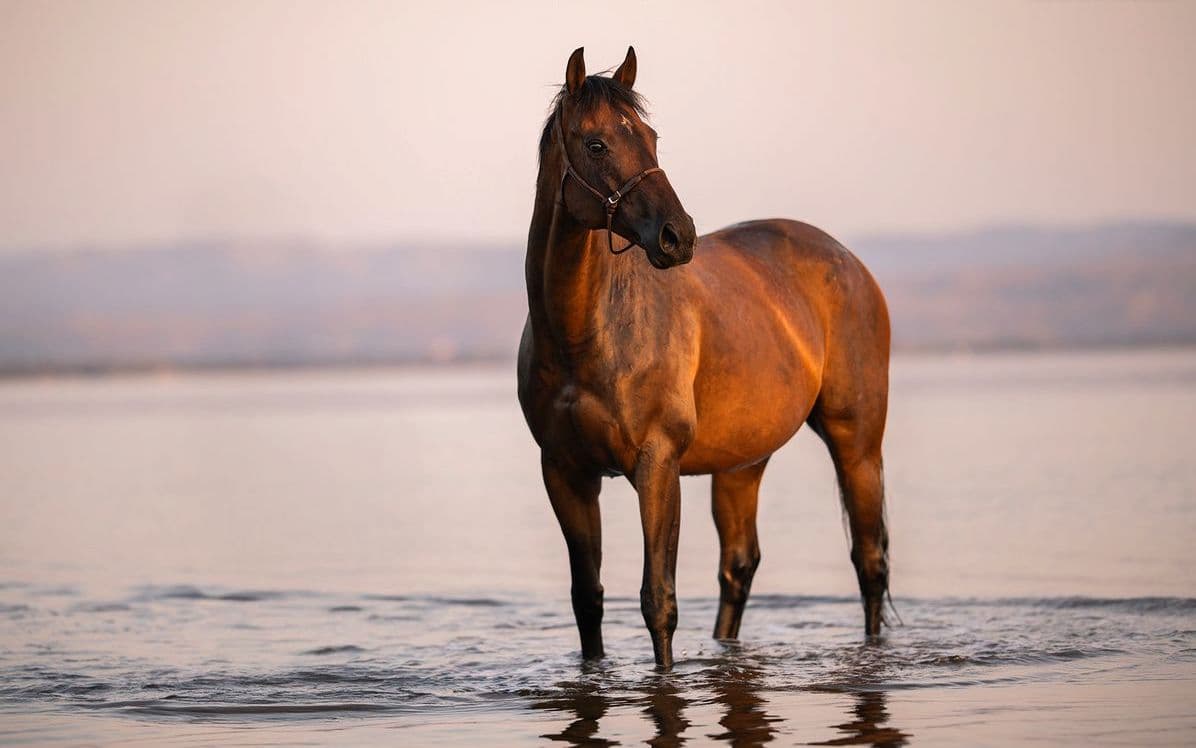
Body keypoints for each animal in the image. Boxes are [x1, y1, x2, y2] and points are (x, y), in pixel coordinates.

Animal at [517, 46, 891, 669]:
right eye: (596, 144)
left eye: (651, 136)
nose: (678, 236)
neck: (585, 335)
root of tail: (851, 263)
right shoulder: (565, 473)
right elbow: (587, 600)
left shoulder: (657, 465)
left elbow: (658, 601)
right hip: (743, 462)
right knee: (738, 568)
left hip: (856, 443)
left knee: (870, 563)